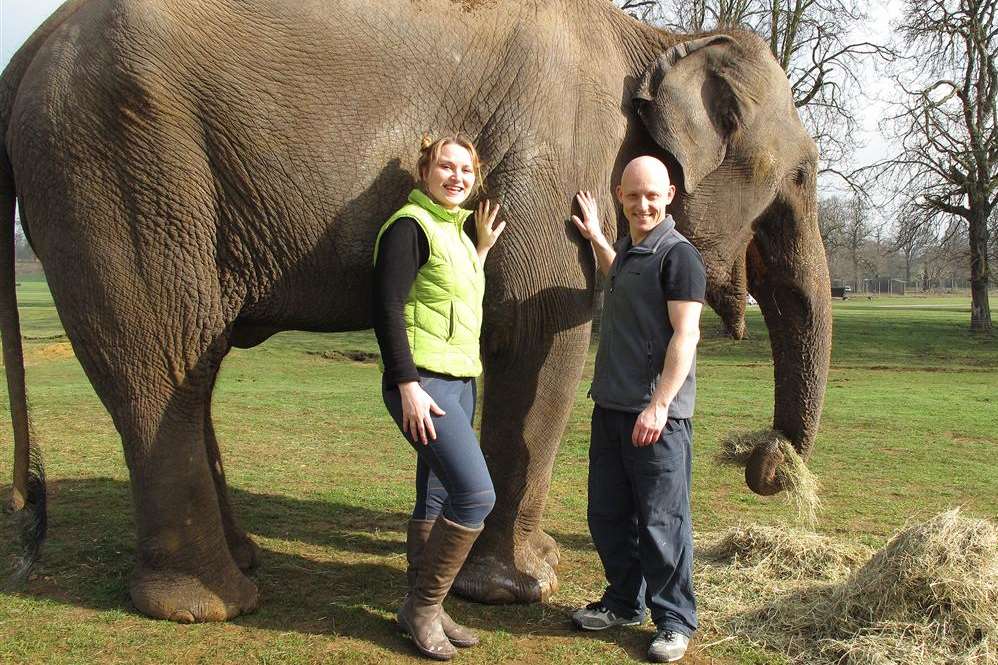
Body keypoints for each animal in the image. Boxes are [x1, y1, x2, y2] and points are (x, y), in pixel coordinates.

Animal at [1, 0, 828, 624]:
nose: (767, 464)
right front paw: (523, 587)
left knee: (188, 370)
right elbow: (538, 332)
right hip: (118, 172)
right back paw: (211, 603)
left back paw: (240, 563)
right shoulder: (559, 159)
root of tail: (24, 55)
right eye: (803, 174)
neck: (654, 37)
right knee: (164, 355)